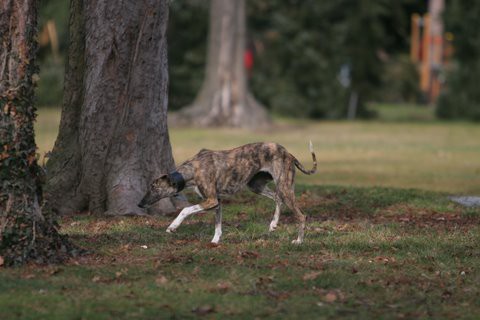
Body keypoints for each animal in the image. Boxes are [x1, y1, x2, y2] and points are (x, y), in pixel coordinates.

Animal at [139, 141, 316, 244]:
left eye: (154, 187)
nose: (139, 204)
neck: (192, 170)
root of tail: (288, 153)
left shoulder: (211, 200)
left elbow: (185, 209)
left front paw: (173, 226)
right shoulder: (217, 202)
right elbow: (218, 225)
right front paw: (215, 242)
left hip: (284, 187)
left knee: (301, 215)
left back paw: (298, 241)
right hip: (256, 186)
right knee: (277, 198)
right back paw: (273, 224)